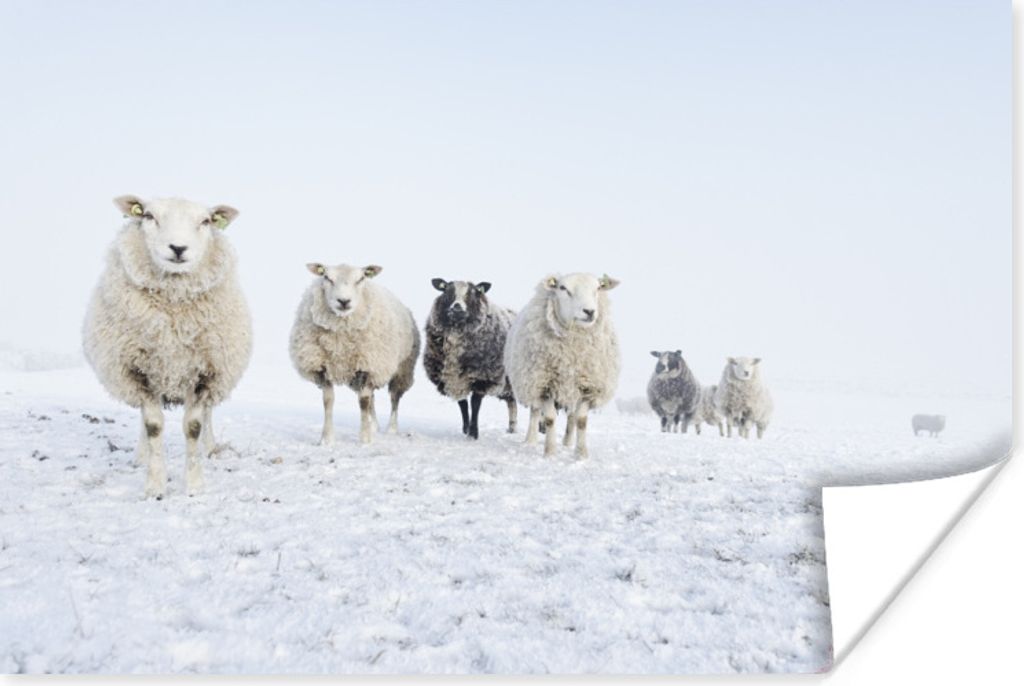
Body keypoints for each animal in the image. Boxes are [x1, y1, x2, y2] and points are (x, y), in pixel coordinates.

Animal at [82, 195, 252, 498]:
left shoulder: (206, 372)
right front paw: (155, 486)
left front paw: (194, 486)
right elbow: (153, 426)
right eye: (149, 216)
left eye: (206, 221)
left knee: (208, 414)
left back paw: (210, 448)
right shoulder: (138, 371)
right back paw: (141, 456)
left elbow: (194, 426)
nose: (178, 248)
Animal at [289, 263, 420, 445]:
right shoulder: (323, 367)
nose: (344, 301)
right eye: (327, 277)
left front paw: (365, 439)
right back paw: (374, 426)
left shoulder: (368, 366)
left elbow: (363, 402)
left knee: (394, 398)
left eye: (361, 278)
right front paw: (326, 439)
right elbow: (328, 401)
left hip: (401, 369)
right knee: (372, 397)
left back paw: (391, 428)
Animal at [424, 279, 517, 438]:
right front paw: (466, 428)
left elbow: (475, 403)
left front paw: (473, 433)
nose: (457, 307)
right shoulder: (453, 379)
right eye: (447, 291)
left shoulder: (482, 376)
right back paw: (512, 428)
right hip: (509, 386)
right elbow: (462, 404)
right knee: (512, 403)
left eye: (473, 293)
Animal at [504, 273, 620, 459]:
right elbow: (550, 419)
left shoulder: (588, 386)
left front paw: (581, 454)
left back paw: (567, 443)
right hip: (531, 381)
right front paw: (550, 452)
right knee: (534, 412)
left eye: (598, 288)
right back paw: (530, 440)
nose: (589, 311)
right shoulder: (544, 384)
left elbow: (581, 420)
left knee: (571, 417)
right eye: (563, 288)